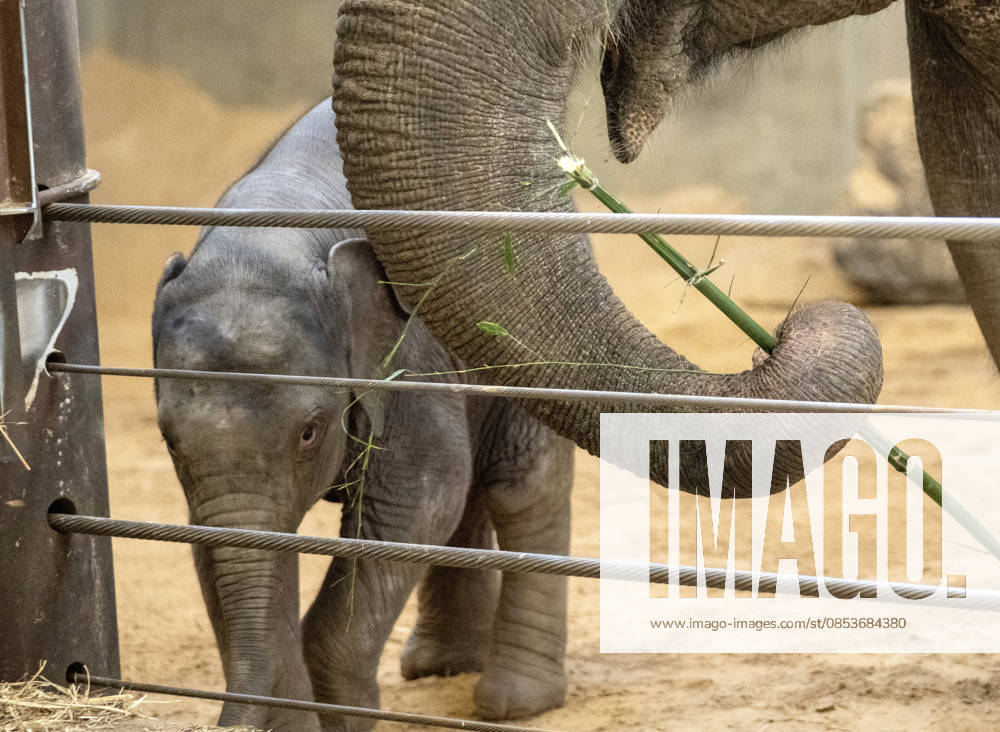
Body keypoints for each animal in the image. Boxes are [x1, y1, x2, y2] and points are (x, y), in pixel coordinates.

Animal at [152, 99, 574, 731]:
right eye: (168, 439)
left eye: (309, 432)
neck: (271, 231)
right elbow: (213, 542)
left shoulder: (406, 350)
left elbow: (415, 497)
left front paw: (343, 717)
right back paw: (440, 667)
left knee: (521, 486)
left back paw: (515, 703)